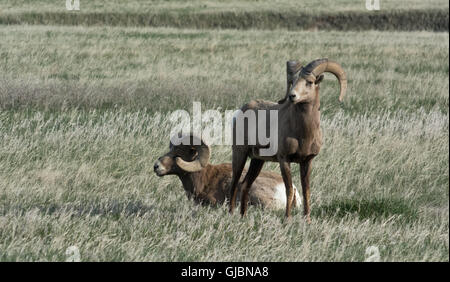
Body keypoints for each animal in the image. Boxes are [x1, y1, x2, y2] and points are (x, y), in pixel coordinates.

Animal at [230, 58, 346, 221]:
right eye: (293, 81)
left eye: (309, 82)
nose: (292, 96)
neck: (303, 135)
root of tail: (242, 111)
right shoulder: (284, 160)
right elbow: (289, 190)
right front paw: (287, 219)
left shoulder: (307, 161)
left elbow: (306, 191)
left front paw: (307, 220)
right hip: (240, 153)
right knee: (234, 183)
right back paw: (230, 214)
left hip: (257, 161)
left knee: (246, 184)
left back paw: (244, 216)